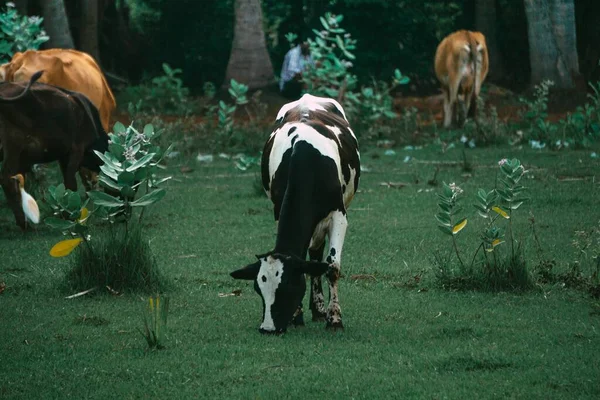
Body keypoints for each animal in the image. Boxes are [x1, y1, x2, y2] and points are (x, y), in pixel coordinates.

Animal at [0, 70, 109, 230]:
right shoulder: (76, 149)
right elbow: (71, 183)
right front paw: (71, 216)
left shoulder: (59, 157)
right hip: (14, 145)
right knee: (6, 180)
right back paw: (24, 224)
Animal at [230, 94, 360, 334]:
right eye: (258, 289)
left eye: (287, 287)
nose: (268, 328)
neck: (305, 159)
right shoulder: (279, 208)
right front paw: (297, 316)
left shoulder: (339, 215)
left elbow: (332, 267)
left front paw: (334, 319)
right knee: (314, 254)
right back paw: (316, 309)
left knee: (318, 255)